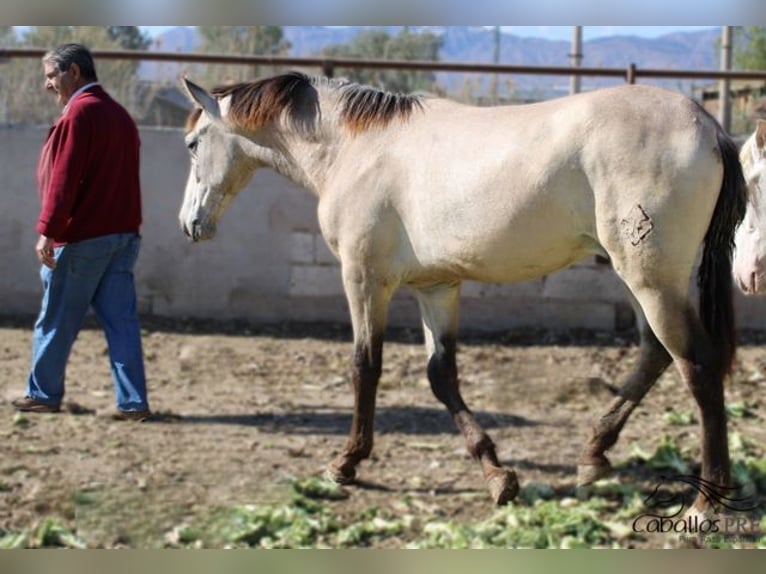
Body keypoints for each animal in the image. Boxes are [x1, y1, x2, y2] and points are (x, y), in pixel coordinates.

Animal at [178, 72, 752, 516]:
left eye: (192, 144)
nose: (189, 224)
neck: (356, 150)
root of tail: (709, 127)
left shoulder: (364, 278)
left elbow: (366, 366)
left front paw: (347, 463)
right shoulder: (437, 287)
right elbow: (442, 375)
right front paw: (497, 473)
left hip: (651, 278)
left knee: (697, 367)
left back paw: (707, 501)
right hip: (639, 277)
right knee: (655, 354)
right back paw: (593, 455)